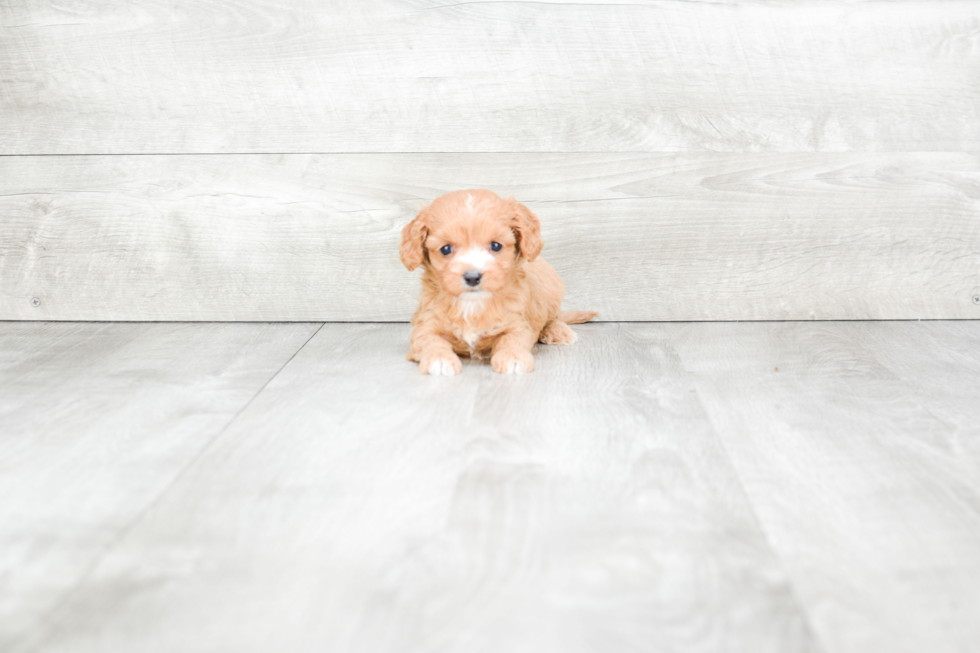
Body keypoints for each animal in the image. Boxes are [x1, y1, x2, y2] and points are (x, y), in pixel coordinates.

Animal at [400, 187, 596, 376]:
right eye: (446, 249)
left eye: (496, 245)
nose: (472, 277)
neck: (472, 305)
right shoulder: (425, 323)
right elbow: (429, 340)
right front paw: (439, 360)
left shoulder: (517, 324)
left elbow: (512, 339)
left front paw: (513, 357)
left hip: (552, 290)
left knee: (552, 318)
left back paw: (558, 331)